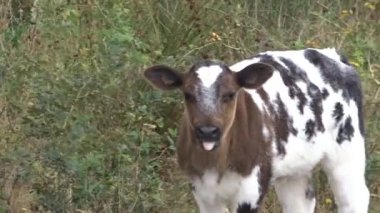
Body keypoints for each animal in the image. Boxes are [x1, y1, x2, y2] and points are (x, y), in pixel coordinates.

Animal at [144, 48, 370, 213]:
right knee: (300, 203)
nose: (208, 131)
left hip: (347, 152)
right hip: (295, 168)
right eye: (188, 95)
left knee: (355, 199)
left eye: (230, 94)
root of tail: (330, 55)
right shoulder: (201, 191)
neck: (216, 164)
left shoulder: (251, 191)